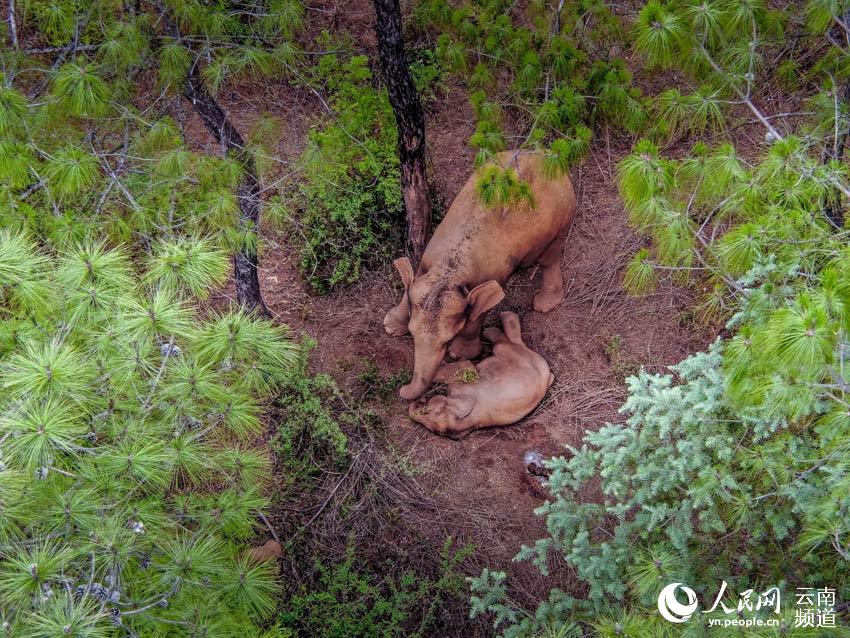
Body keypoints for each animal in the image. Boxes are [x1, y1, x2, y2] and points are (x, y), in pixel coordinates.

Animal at [384, 150, 576, 400]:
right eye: (412, 333)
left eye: (447, 341)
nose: (401, 389)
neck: (451, 271)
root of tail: (545, 154)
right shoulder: (430, 255)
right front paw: (390, 326)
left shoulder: (491, 276)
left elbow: (479, 312)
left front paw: (460, 354)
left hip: (563, 214)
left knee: (549, 257)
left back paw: (545, 304)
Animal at [407, 312, 553, 438]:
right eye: (432, 430)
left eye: (426, 412)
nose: (420, 401)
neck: (467, 422)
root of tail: (547, 372)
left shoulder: (465, 386)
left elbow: (464, 365)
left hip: (514, 354)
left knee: (503, 345)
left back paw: (493, 326)